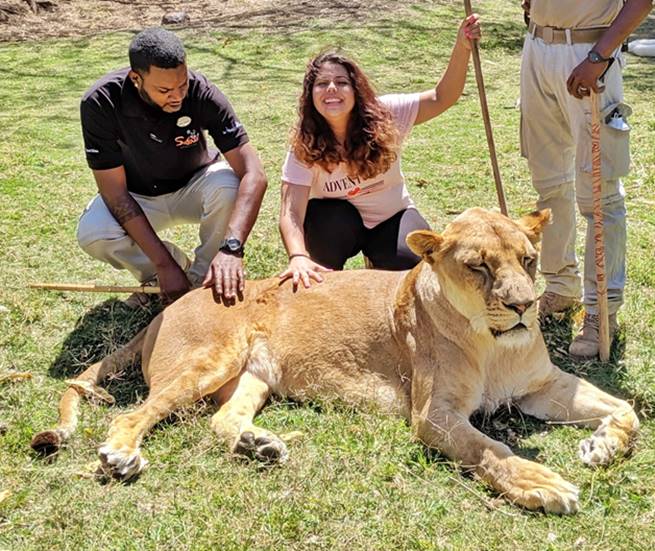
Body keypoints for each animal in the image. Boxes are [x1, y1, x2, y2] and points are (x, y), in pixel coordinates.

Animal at [31, 207, 638, 514]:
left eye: (529, 260)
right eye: (479, 267)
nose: (523, 305)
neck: (493, 345)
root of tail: (170, 305)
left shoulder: (543, 384)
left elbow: (628, 410)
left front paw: (600, 445)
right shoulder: (433, 415)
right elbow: (488, 449)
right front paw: (543, 483)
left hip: (254, 379)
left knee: (221, 420)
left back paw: (260, 445)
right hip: (211, 360)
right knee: (133, 414)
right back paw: (121, 456)